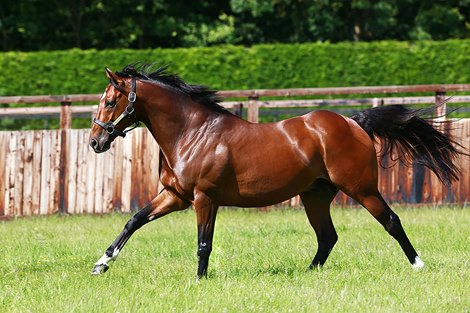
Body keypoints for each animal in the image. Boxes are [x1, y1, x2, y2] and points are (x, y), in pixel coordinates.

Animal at [89, 62, 462, 276]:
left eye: (109, 101)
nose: (95, 141)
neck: (192, 132)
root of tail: (353, 121)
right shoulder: (175, 196)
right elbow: (134, 221)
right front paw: (100, 264)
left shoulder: (204, 199)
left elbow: (203, 243)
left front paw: (199, 280)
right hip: (315, 196)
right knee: (327, 237)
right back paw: (306, 273)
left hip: (363, 189)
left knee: (391, 221)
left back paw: (418, 265)